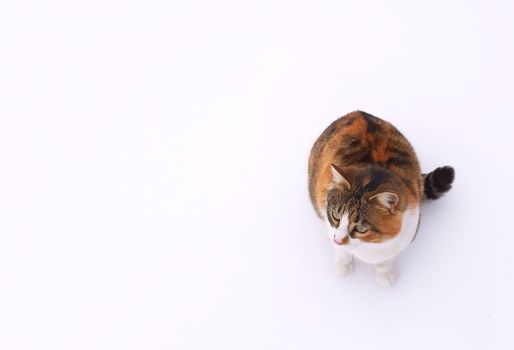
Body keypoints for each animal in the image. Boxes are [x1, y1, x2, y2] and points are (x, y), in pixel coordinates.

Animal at [306, 110, 450, 286]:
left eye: (361, 228)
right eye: (335, 216)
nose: (337, 240)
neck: (371, 245)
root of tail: (357, 112)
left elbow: (385, 260)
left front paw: (384, 273)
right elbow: (341, 251)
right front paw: (342, 264)